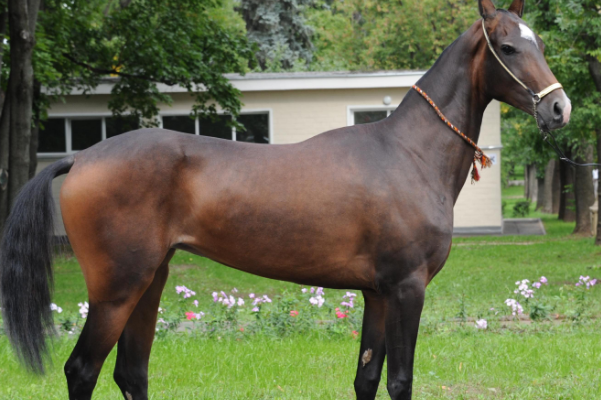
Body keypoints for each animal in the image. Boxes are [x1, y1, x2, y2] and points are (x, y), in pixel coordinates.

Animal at [1, 0, 572, 398]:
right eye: (508, 47)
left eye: (540, 44)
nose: (560, 109)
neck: (408, 153)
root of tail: (83, 157)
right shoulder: (407, 288)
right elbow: (399, 381)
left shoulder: (377, 294)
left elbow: (367, 378)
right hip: (117, 289)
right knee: (83, 370)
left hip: (151, 279)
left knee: (131, 373)